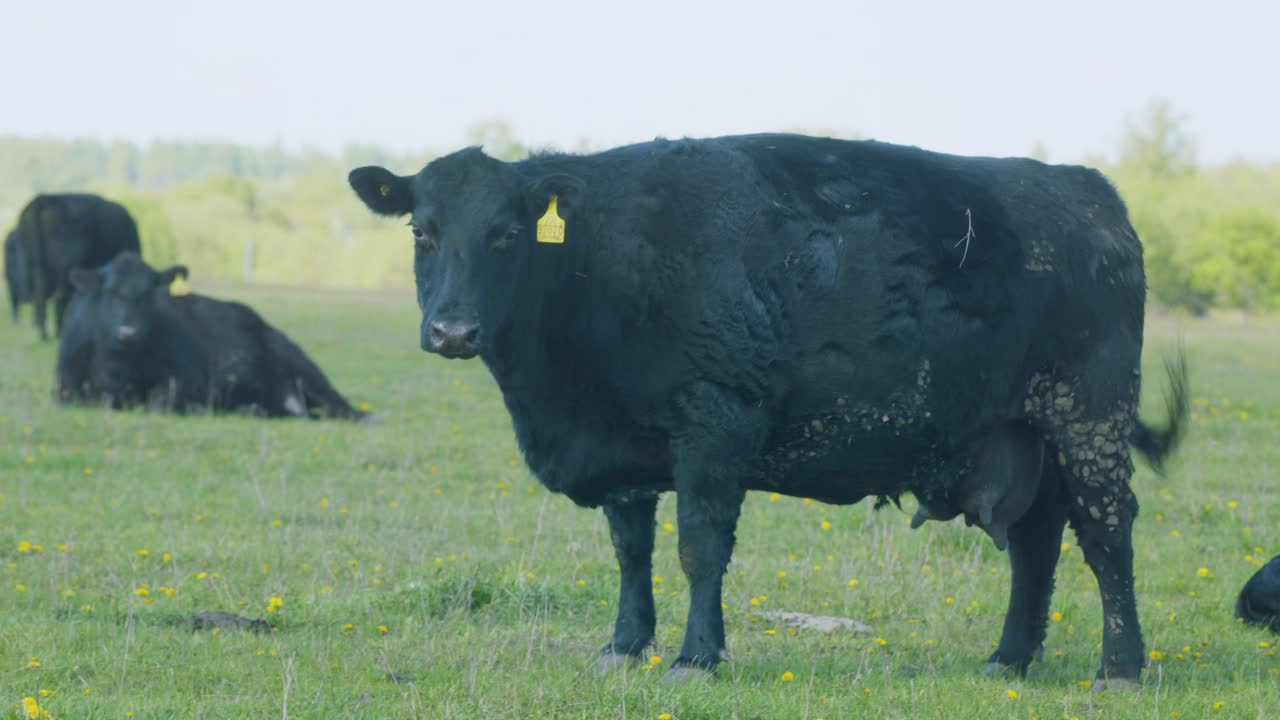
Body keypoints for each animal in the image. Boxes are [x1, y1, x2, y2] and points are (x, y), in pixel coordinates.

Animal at [15, 190, 142, 335]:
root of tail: (45, 199)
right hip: (63, 271)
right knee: (59, 299)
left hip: (36, 267)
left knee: (41, 296)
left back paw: (45, 333)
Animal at [55, 252, 366, 420]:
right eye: (110, 292)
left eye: (149, 293)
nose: (128, 331)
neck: (117, 369)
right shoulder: (63, 388)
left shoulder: (187, 380)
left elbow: (159, 401)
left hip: (303, 365)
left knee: (340, 406)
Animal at [350, 133, 1187, 681]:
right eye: (422, 232)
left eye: (504, 234)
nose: (453, 331)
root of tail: (1087, 190)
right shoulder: (626, 450)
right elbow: (631, 551)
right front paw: (623, 646)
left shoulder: (714, 428)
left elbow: (698, 547)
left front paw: (696, 656)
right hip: (1023, 433)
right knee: (1038, 541)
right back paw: (1007, 659)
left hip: (1089, 420)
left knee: (1107, 536)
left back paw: (1119, 666)